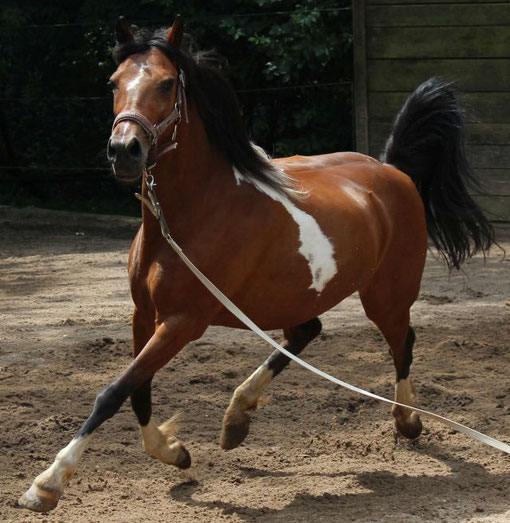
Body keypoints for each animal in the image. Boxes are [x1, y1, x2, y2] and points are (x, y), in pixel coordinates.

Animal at [18, 17, 494, 516]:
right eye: (113, 83)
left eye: (166, 83)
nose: (124, 150)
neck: (194, 213)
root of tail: (392, 172)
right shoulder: (143, 315)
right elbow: (138, 390)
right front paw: (174, 452)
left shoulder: (183, 322)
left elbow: (112, 392)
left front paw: (47, 484)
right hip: (294, 297)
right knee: (306, 334)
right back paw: (237, 418)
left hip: (386, 293)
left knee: (403, 343)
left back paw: (407, 421)